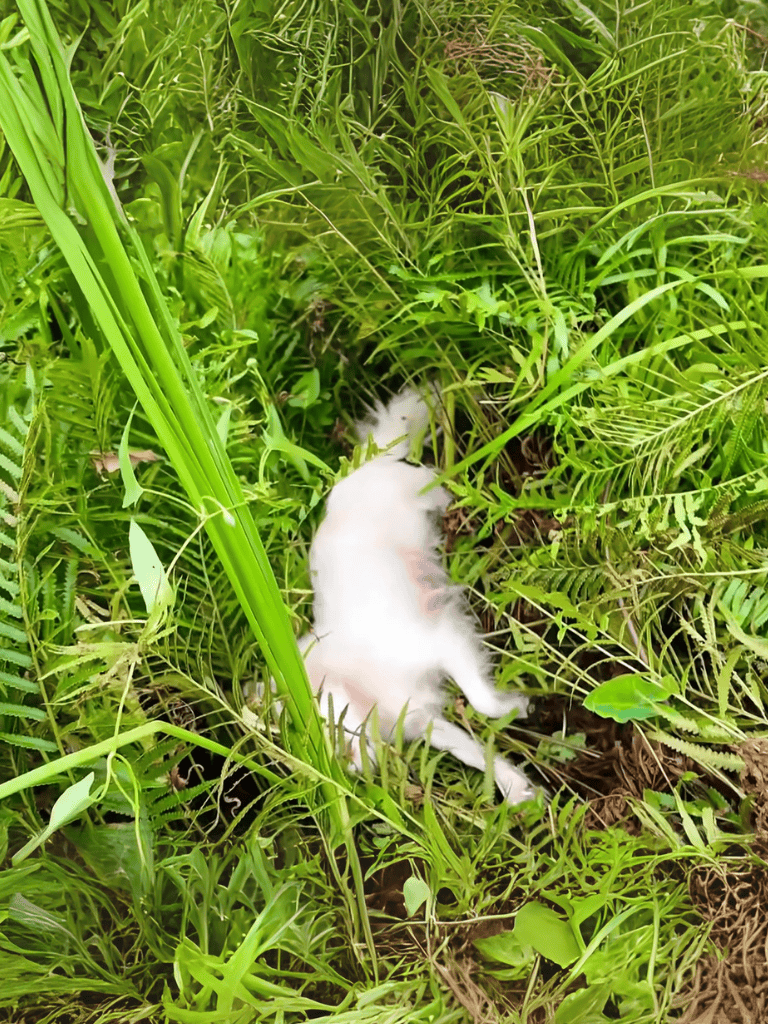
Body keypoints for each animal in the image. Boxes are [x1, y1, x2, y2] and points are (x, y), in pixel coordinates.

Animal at [292, 384, 536, 805]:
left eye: (332, 726)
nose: (351, 771)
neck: (364, 683)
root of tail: (368, 463)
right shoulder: (424, 719)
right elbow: (470, 751)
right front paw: (514, 785)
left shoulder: (443, 640)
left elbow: (482, 700)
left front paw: (514, 707)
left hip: (428, 490)